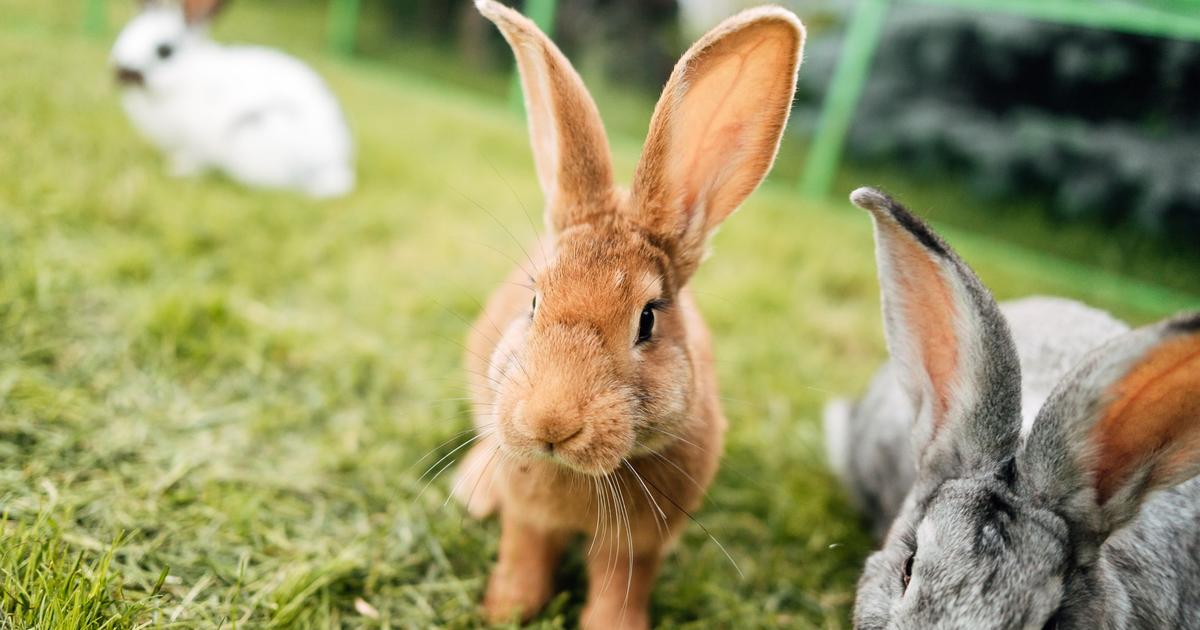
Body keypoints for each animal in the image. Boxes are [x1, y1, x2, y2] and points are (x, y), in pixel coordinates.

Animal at [110, 0, 355, 198]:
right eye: (124, 36)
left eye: (164, 51)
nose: (121, 73)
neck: (185, 76)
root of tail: (332, 166)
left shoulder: (196, 139)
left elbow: (193, 158)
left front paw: (178, 170)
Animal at [449, 2, 804, 628]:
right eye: (533, 300)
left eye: (648, 321)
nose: (550, 423)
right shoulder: (527, 517)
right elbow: (523, 556)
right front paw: (505, 610)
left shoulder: (638, 545)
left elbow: (618, 590)